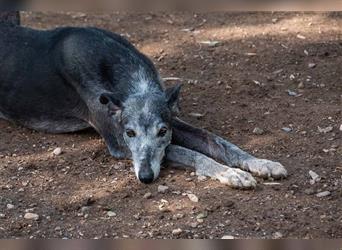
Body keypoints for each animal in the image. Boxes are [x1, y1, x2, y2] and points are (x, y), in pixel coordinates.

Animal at [0, 12, 288, 188]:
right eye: (130, 133)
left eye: (162, 131)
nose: (146, 178)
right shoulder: (119, 142)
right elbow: (192, 153)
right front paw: (230, 173)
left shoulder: (172, 120)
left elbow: (219, 142)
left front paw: (260, 163)